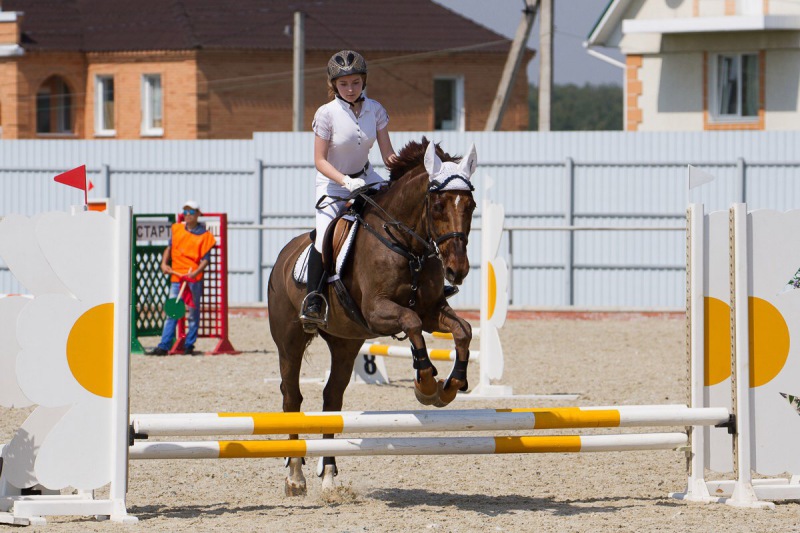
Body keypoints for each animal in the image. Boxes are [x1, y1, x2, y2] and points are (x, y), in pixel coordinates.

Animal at [266, 138, 478, 494]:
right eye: (437, 205)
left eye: (471, 206)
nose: (457, 271)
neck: (407, 245)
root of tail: (283, 256)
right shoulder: (378, 312)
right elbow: (412, 324)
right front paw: (426, 383)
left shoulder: (432, 310)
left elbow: (463, 330)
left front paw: (451, 385)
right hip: (290, 341)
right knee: (292, 397)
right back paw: (295, 476)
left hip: (345, 343)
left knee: (332, 397)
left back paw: (329, 475)